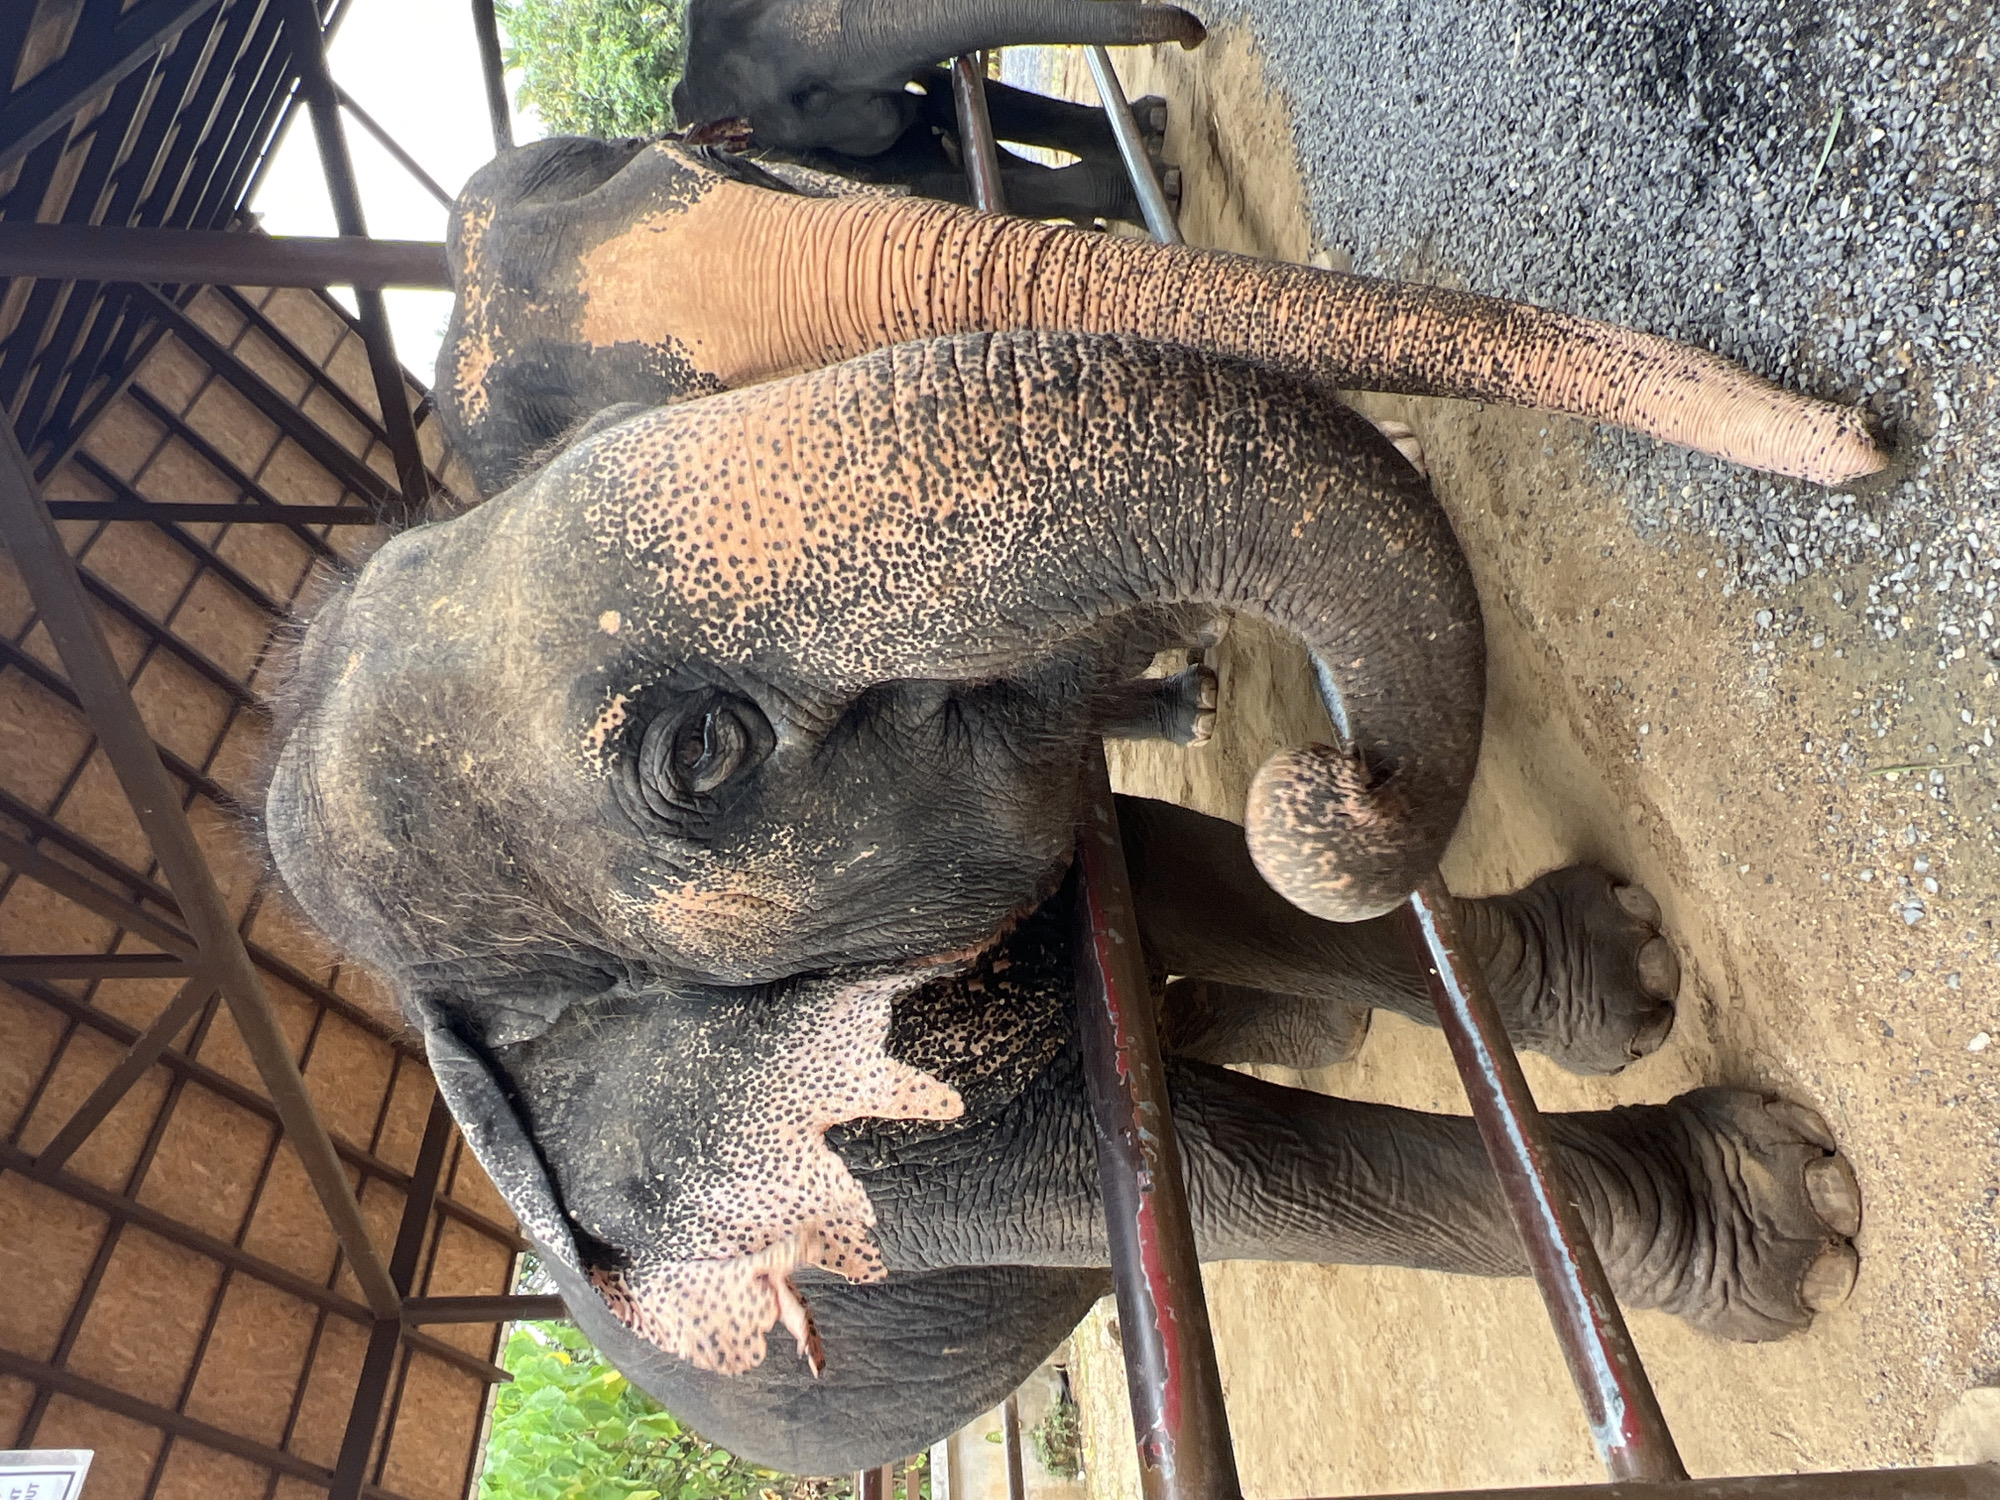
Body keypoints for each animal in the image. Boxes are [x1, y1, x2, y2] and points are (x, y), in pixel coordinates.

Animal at [266, 328, 1865, 1475]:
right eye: (701, 751)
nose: (1334, 771)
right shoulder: (832, 1185)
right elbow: (1220, 1184)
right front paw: (1792, 1218)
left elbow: (1174, 870)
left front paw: (1630, 973)